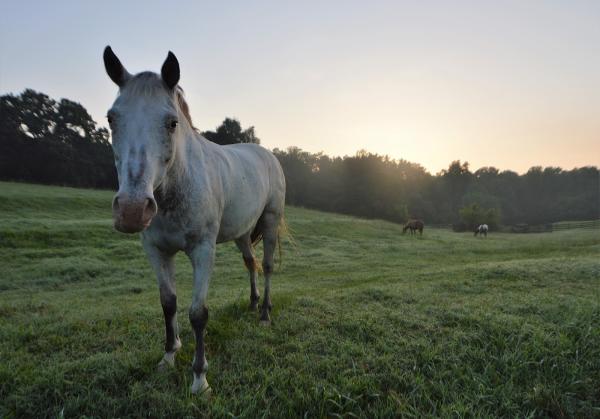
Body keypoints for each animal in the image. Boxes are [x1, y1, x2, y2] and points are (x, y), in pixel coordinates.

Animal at [102, 47, 286, 396]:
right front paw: (169, 356)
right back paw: (253, 303)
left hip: (270, 221)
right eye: (111, 119)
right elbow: (168, 303)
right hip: (242, 232)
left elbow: (198, 313)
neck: (176, 189)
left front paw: (200, 378)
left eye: (172, 122)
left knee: (268, 266)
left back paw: (266, 314)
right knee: (250, 262)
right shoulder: (156, 250)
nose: (132, 210)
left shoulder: (203, 250)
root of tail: (267, 154)